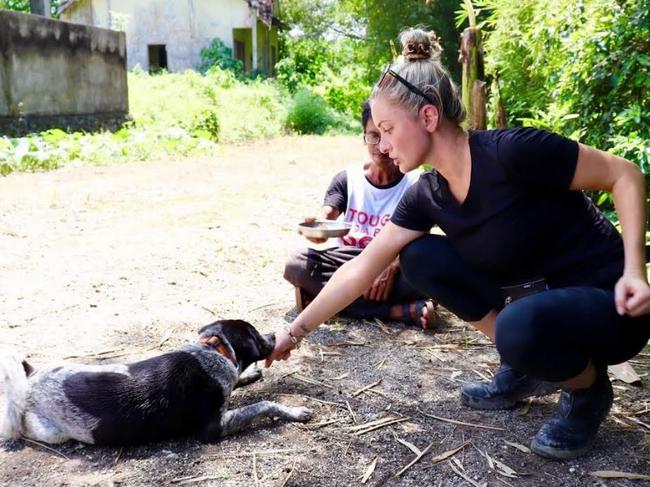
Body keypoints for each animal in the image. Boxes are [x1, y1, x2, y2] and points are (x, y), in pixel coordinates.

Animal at [0, 320, 310, 446]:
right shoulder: (214, 427)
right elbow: (264, 404)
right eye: (255, 334)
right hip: (48, 431)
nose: (275, 336)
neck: (212, 351)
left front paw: (248, 376)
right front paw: (295, 412)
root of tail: (31, 379)